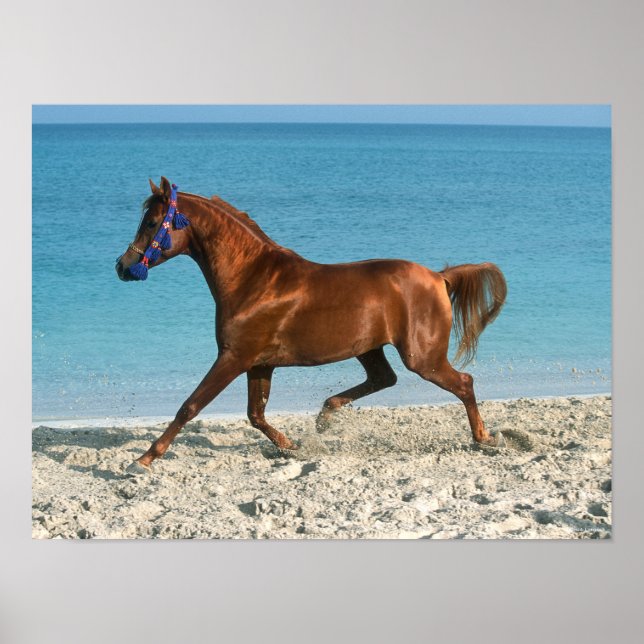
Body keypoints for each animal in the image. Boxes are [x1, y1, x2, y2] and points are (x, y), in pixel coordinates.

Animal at [116, 177, 507, 474]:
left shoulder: (233, 357)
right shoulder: (260, 364)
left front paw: (143, 460)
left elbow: (190, 406)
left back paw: (486, 439)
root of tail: (439, 277)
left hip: (422, 357)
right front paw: (292, 445)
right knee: (384, 378)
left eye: (151, 222)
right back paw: (325, 416)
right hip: (369, 349)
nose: (122, 266)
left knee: (463, 383)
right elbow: (255, 414)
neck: (252, 280)